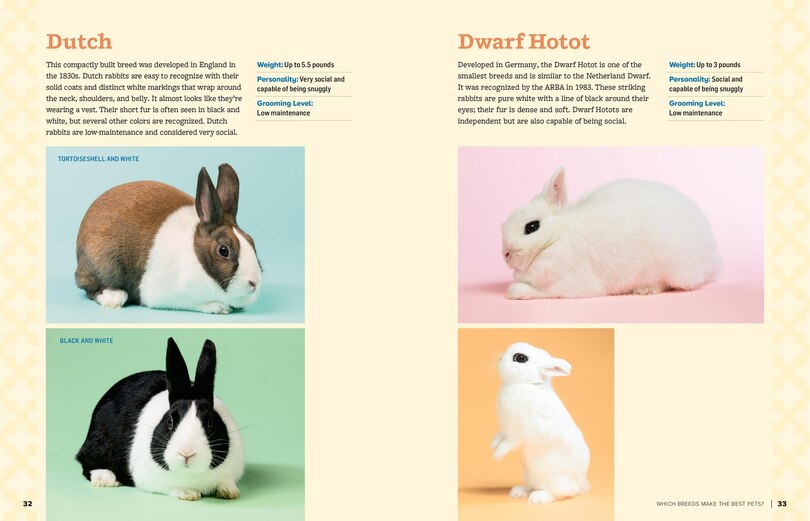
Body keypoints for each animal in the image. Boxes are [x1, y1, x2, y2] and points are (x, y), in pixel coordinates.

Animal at [75, 163, 262, 314]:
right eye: (223, 250)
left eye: (252, 242)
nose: (254, 282)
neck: (197, 257)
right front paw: (217, 307)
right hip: (104, 264)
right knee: (90, 288)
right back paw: (114, 298)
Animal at [76, 337, 245, 501]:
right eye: (170, 421)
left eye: (210, 423)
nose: (187, 453)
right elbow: (173, 486)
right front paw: (188, 493)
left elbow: (226, 481)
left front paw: (229, 491)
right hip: (97, 443)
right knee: (86, 462)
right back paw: (105, 479)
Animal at [492, 342, 590, 504]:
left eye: (520, 358)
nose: (499, 359)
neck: (527, 384)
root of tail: (581, 483)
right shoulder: (505, 429)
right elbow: (499, 437)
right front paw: (492, 445)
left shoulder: (518, 433)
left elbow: (507, 444)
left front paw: (496, 455)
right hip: (528, 474)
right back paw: (518, 491)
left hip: (549, 474)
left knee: (564, 493)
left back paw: (538, 498)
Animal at [501, 167, 721, 299]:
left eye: (532, 227)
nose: (505, 254)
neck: (557, 236)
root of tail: (712, 260)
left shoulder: (568, 284)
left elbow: (543, 291)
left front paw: (514, 291)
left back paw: (645, 289)